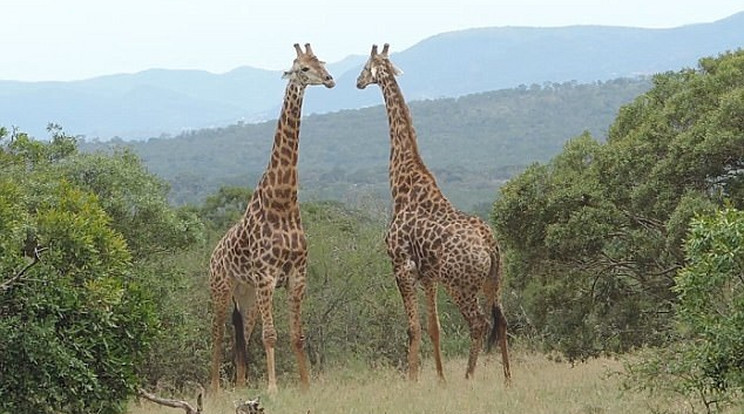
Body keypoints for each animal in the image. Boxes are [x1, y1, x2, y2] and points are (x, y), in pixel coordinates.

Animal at [211, 42, 336, 394]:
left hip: (246, 296)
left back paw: (240, 386)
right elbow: (270, 336)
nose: (330, 79)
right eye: (302, 68)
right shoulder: (267, 276)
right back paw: (213, 390)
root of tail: (213, 253)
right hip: (221, 289)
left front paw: (306, 385)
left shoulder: (297, 274)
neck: (282, 202)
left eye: (321, 62)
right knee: (217, 336)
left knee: (242, 337)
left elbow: (297, 335)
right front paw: (272, 388)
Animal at [356, 43, 512, 384]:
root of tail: (491, 244)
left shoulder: (401, 265)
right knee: (502, 320)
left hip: (460, 284)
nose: (358, 82)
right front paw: (439, 379)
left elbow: (413, 327)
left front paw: (412, 380)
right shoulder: (427, 274)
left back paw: (468, 377)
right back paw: (508, 379)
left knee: (479, 323)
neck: (403, 185)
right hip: (492, 282)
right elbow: (434, 327)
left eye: (364, 66)